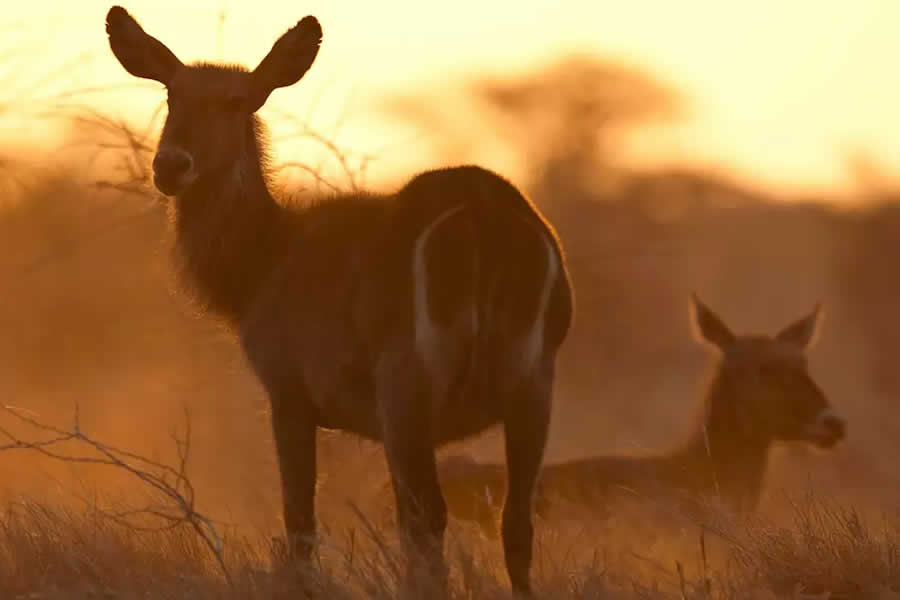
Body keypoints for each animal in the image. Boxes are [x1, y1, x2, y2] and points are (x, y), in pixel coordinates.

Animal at [102, 5, 572, 596]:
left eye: (235, 100)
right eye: (172, 94)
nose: (170, 165)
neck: (265, 259)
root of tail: (482, 213)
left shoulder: (288, 393)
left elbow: (299, 520)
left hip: (406, 390)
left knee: (426, 519)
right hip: (533, 388)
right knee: (514, 523)